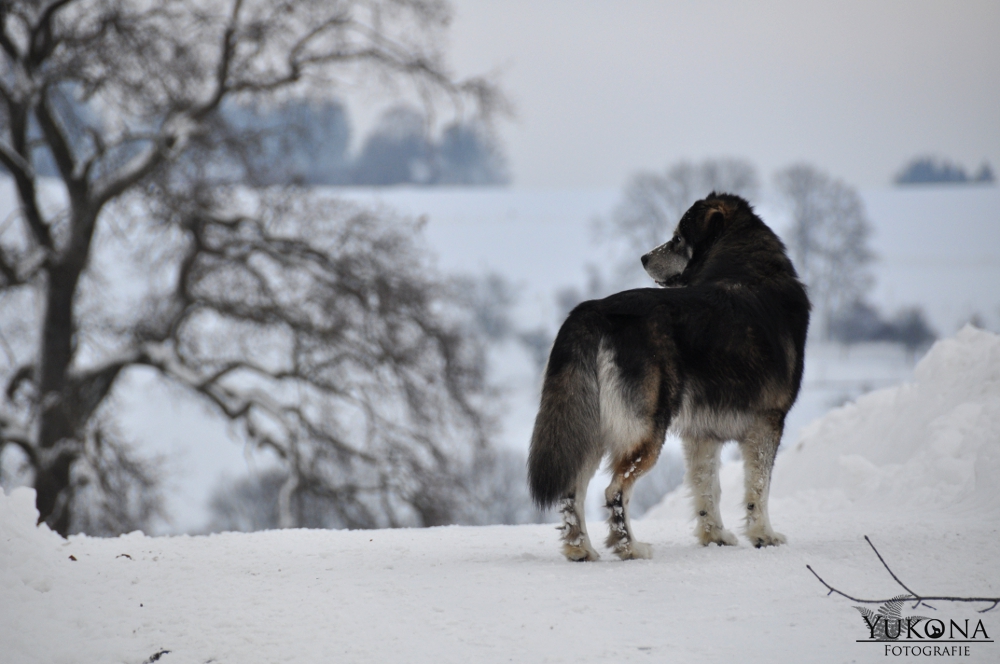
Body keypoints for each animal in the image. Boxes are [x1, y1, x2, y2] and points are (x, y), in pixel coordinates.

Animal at [528, 192, 808, 560]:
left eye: (676, 239)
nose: (644, 257)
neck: (748, 268)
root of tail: (593, 310)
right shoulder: (768, 422)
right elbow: (758, 488)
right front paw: (764, 536)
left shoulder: (702, 434)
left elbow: (707, 488)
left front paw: (714, 536)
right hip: (645, 432)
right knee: (614, 490)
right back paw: (630, 548)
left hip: (590, 429)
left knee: (572, 491)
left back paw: (581, 550)